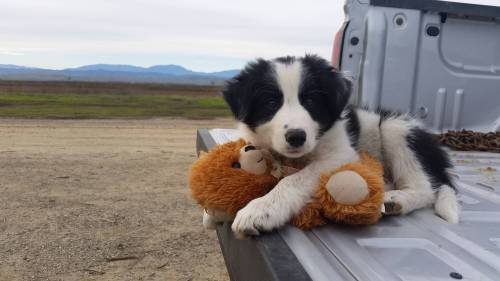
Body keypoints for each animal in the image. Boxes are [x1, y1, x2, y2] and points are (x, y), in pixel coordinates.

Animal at [225, 54, 458, 236]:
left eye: (311, 102)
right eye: (271, 103)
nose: (296, 137)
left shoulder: (341, 154)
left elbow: (296, 179)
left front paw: (262, 209)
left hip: (396, 128)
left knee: (426, 189)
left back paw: (395, 199)